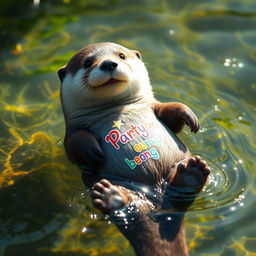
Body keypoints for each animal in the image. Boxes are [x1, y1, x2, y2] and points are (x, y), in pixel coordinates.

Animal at [57, 42, 210, 256]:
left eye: (121, 56)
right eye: (87, 63)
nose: (108, 64)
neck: (118, 112)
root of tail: (160, 207)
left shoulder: (154, 107)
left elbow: (169, 112)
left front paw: (188, 114)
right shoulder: (71, 132)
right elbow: (74, 143)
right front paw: (92, 150)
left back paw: (191, 173)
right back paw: (110, 196)